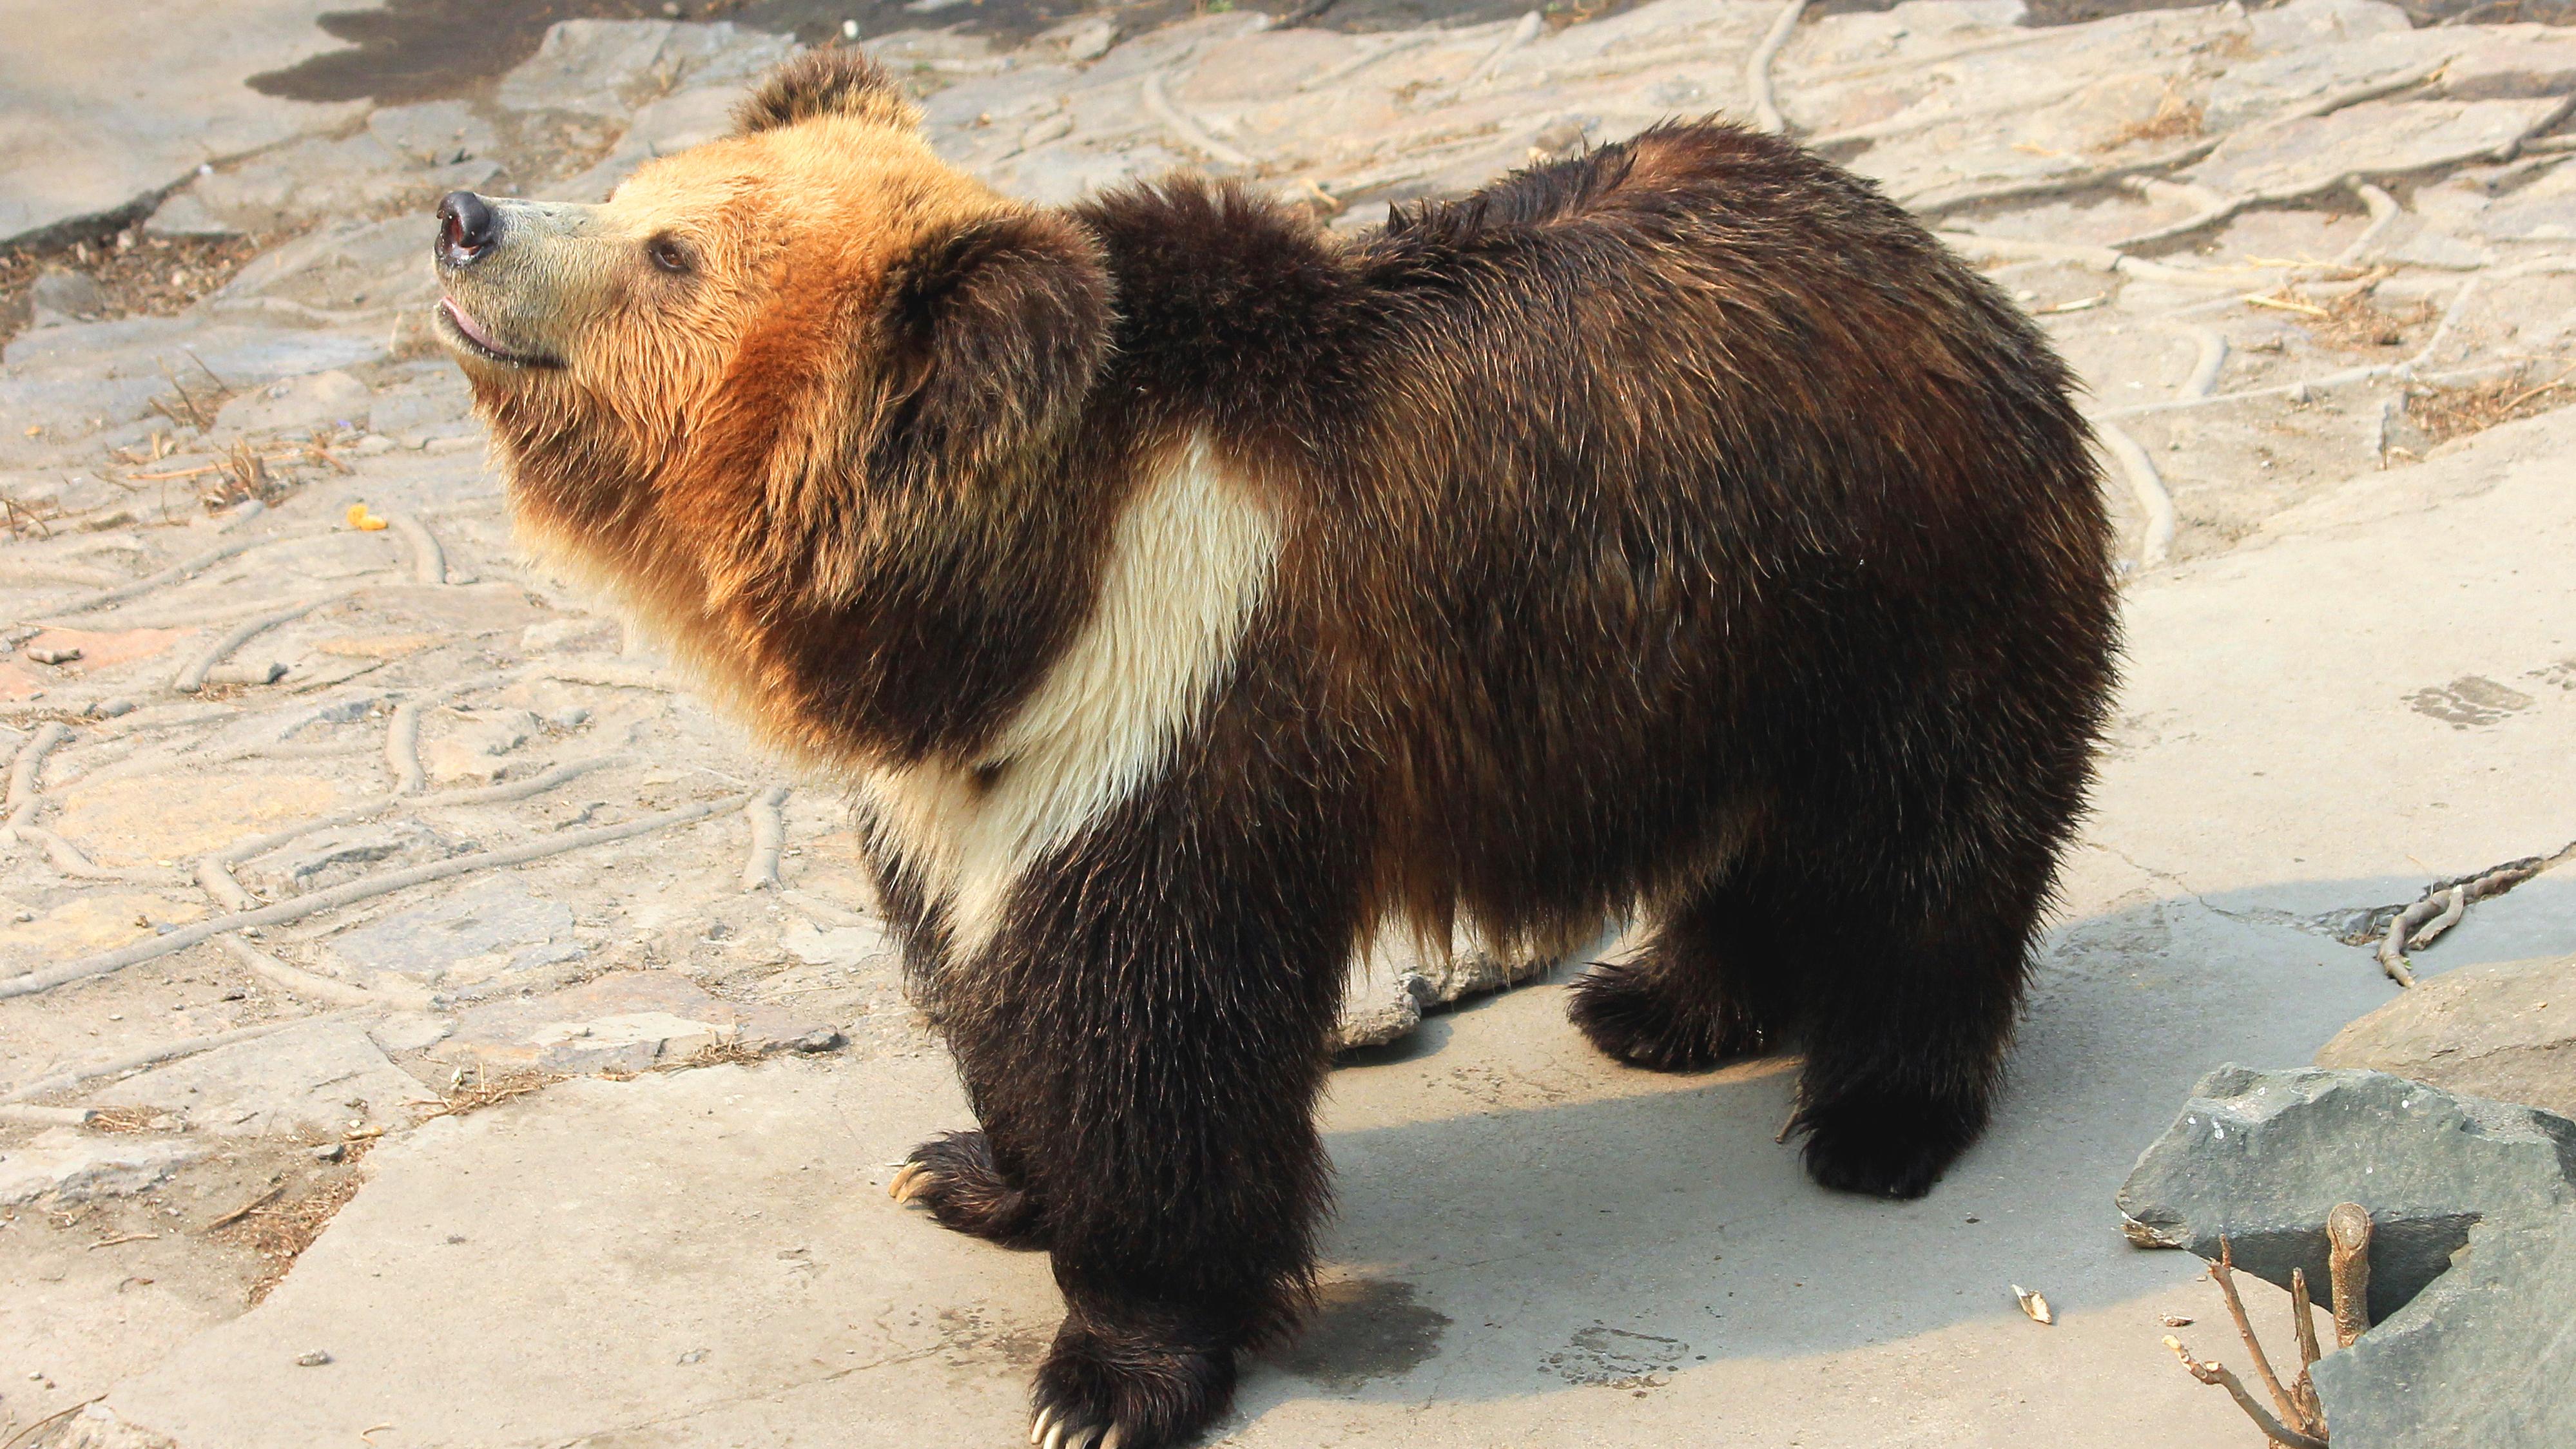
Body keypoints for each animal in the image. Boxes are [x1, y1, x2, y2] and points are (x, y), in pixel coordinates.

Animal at [432, 47, 2118, 1449]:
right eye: (634, 189)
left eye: (671, 251)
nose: (462, 215)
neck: (1012, 600)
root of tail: (1927, 250)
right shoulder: (974, 777)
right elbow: (983, 980)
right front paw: (967, 1168)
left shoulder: (1185, 702)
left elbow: (1149, 1032)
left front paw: (1109, 1372)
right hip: (1721, 654)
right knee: (1750, 840)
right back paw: (1655, 1001)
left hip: (1895, 586)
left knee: (1923, 854)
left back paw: (1878, 1117)